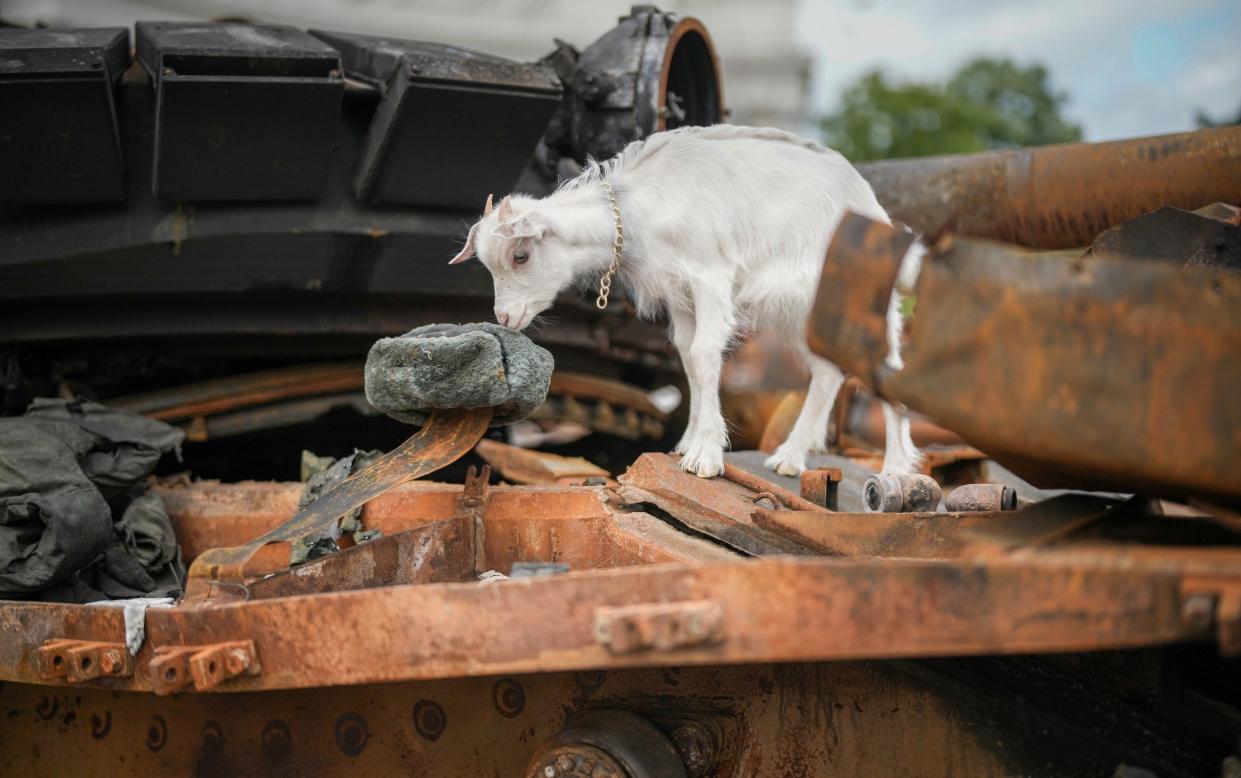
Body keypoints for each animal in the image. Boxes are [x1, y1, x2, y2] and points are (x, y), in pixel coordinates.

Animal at [446, 124, 923, 478]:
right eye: (487, 264)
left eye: (520, 255)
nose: (506, 316)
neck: (642, 208)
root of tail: (871, 203)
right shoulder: (678, 292)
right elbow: (689, 358)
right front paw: (686, 444)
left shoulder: (710, 277)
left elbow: (707, 355)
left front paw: (706, 458)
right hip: (800, 309)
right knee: (827, 372)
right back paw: (789, 459)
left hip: (865, 296)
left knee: (887, 366)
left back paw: (896, 470)